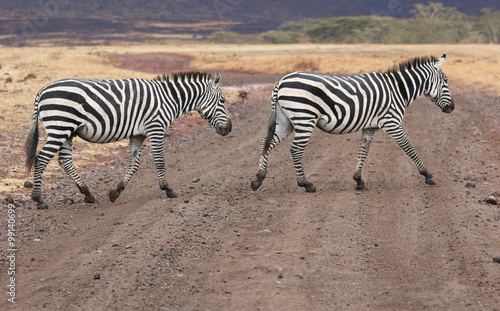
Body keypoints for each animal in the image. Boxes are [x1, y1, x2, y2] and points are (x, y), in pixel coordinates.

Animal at [25, 72, 232, 211]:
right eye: (222, 100)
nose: (229, 128)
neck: (169, 99)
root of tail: (41, 91)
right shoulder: (155, 128)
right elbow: (160, 161)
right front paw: (168, 189)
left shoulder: (138, 134)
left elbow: (134, 164)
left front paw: (116, 192)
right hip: (59, 126)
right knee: (42, 159)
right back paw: (38, 200)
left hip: (68, 131)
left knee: (64, 160)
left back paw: (87, 193)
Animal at [252, 53, 456, 194]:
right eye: (445, 80)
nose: (452, 108)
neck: (398, 90)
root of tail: (281, 81)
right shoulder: (391, 123)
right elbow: (409, 148)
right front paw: (428, 175)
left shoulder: (370, 127)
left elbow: (363, 152)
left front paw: (358, 180)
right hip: (304, 117)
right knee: (295, 150)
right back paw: (306, 184)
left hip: (286, 120)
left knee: (265, 142)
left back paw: (258, 179)